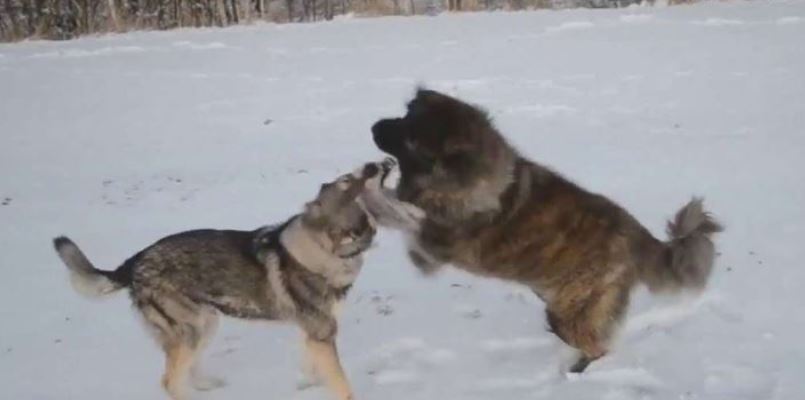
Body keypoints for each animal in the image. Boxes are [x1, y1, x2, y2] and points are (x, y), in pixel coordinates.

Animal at [370, 89, 724, 374]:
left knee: (596, 345)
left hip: (571, 312)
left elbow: (400, 210)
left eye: (411, 138)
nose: (374, 126)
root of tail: (637, 234)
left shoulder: (432, 245)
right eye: (404, 116)